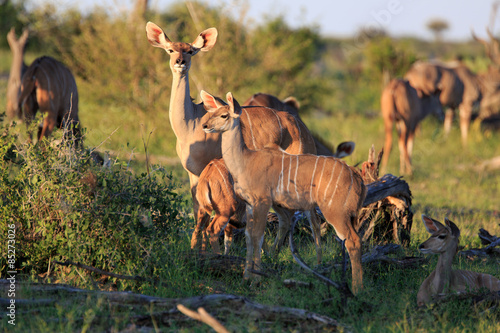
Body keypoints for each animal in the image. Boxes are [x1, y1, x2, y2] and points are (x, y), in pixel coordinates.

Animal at [146, 22, 316, 250]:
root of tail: (305, 131)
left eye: (190, 51)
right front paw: (196, 248)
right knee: (286, 216)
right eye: (170, 50)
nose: (180, 62)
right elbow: (199, 214)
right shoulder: (193, 176)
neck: (190, 123)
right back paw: (273, 251)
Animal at [200, 90, 368, 294]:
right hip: (348, 215)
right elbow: (249, 237)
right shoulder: (250, 205)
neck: (245, 160)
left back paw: (356, 288)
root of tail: (357, 177)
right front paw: (245, 278)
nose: (205, 126)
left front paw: (255, 280)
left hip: (335, 212)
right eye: (212, 112)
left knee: (352, 240)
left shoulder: (262, 202)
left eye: (224, 115)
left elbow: (258, 236)